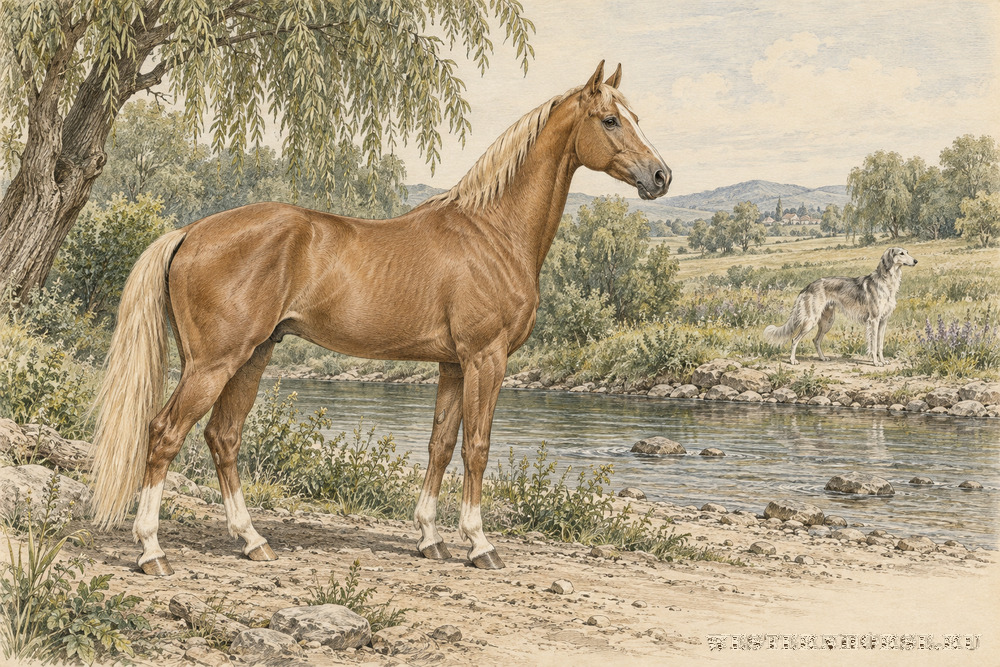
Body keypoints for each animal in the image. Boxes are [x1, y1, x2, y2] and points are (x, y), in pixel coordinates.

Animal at [90, 61, 672, 575]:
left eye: (636, 115)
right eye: (610, 120)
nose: (661, 176)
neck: (492, 232)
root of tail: (189, 232)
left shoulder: (452, 365)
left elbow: (440, 446)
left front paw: (430, 539)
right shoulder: (486, 359)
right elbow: (477, 448)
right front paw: (480, 545)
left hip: (251, 358)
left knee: (223, 437)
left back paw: (253, 541)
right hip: (213, 363)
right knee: (164, 434)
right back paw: (152, 552)